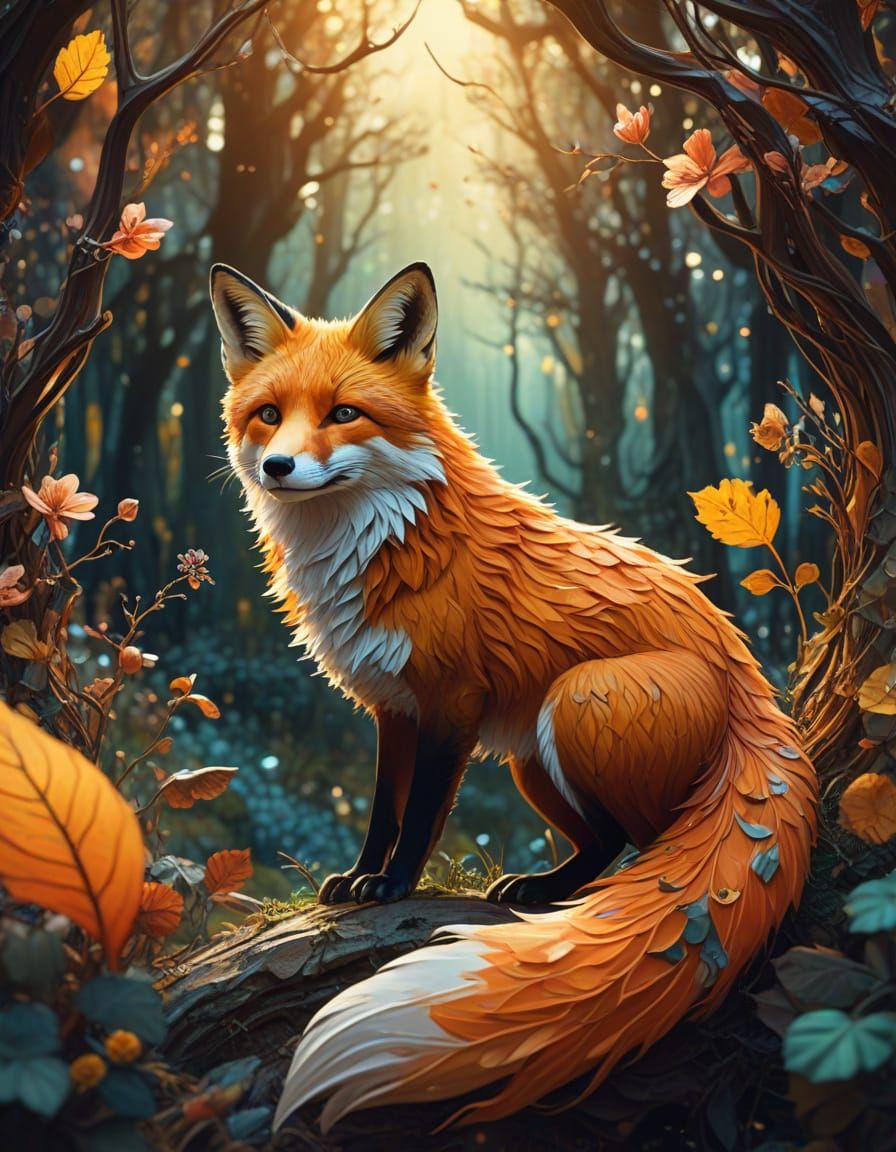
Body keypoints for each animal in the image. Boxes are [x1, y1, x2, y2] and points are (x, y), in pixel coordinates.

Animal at [210, 261, 817, 1132]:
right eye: (268, 415)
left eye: (344, 414)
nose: (276, 468)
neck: (391, 543)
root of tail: (747, 672)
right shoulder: (393, 706)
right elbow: (382, 809)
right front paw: (358, 881)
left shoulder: (452, 703)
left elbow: (422, 814)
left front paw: (394, 888)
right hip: (536, 759)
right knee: (604, 842)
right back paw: (548, 891)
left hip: (581, 701)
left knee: (655, 851)